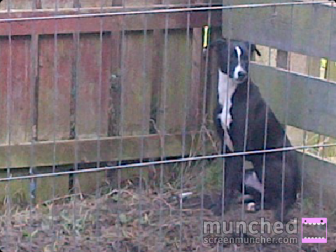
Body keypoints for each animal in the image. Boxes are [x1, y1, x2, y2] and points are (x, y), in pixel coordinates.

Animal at [211, 38, 300, 220]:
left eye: (246, 58)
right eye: (230, 56)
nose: (242, 73)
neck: (230, 93)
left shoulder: (239, 148)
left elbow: (228, 182)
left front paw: (221, 207)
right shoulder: (225, 146)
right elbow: (226, 180)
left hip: (268, 166)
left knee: (283, 199)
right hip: (247, 176)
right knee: (268, 197)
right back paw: (252, 203)